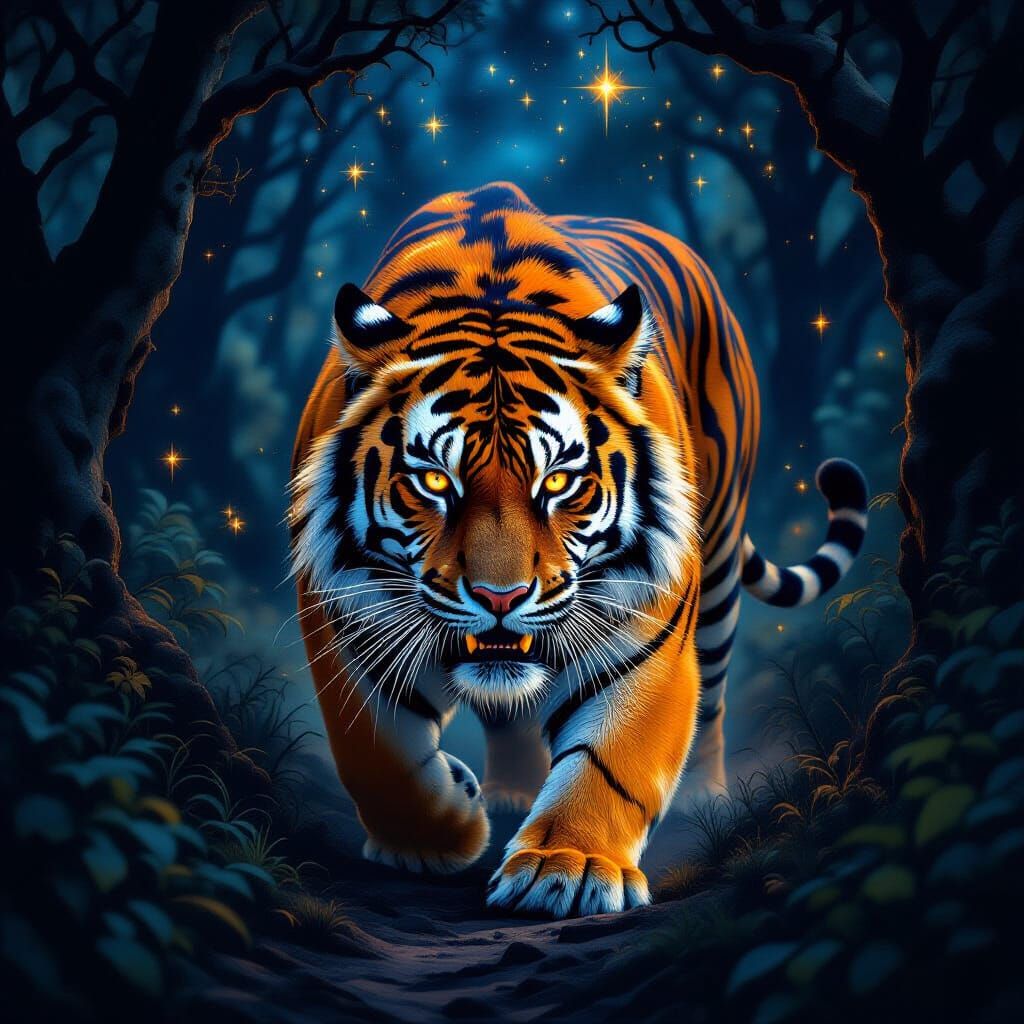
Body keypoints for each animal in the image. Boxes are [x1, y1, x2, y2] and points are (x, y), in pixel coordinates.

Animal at [289, 182, 867, 919]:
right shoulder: (344, 617)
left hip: (716, 566)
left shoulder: (646, 631)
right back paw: (507, 791)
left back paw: (703, 798)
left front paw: (568, 868)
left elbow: (610, 759)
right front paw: (439, 834)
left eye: (559, 481)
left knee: (711, 698)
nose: (500, 597)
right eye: (435, 481)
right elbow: (374, 754)